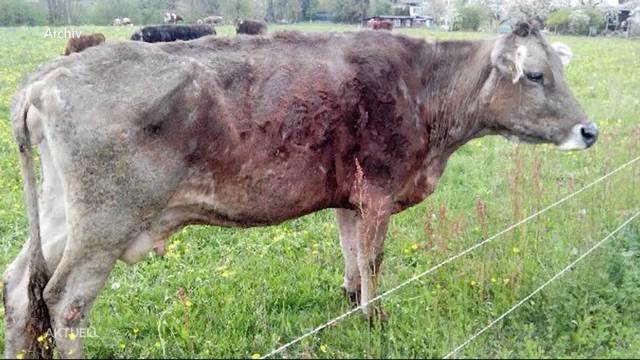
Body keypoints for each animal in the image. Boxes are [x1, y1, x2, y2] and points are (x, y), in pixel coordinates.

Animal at [5, 21, 596, 358]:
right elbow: (374, 260)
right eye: (537, 75)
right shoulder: (379, 190)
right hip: (104, 224)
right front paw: (375, 322)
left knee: (18, 286)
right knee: (65, 303)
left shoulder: (349, 198)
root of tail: (46, 76)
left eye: (557, 71)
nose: (588, 130)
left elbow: (352, 259)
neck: (424, 91)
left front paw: (354, 307)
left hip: (61, 217)